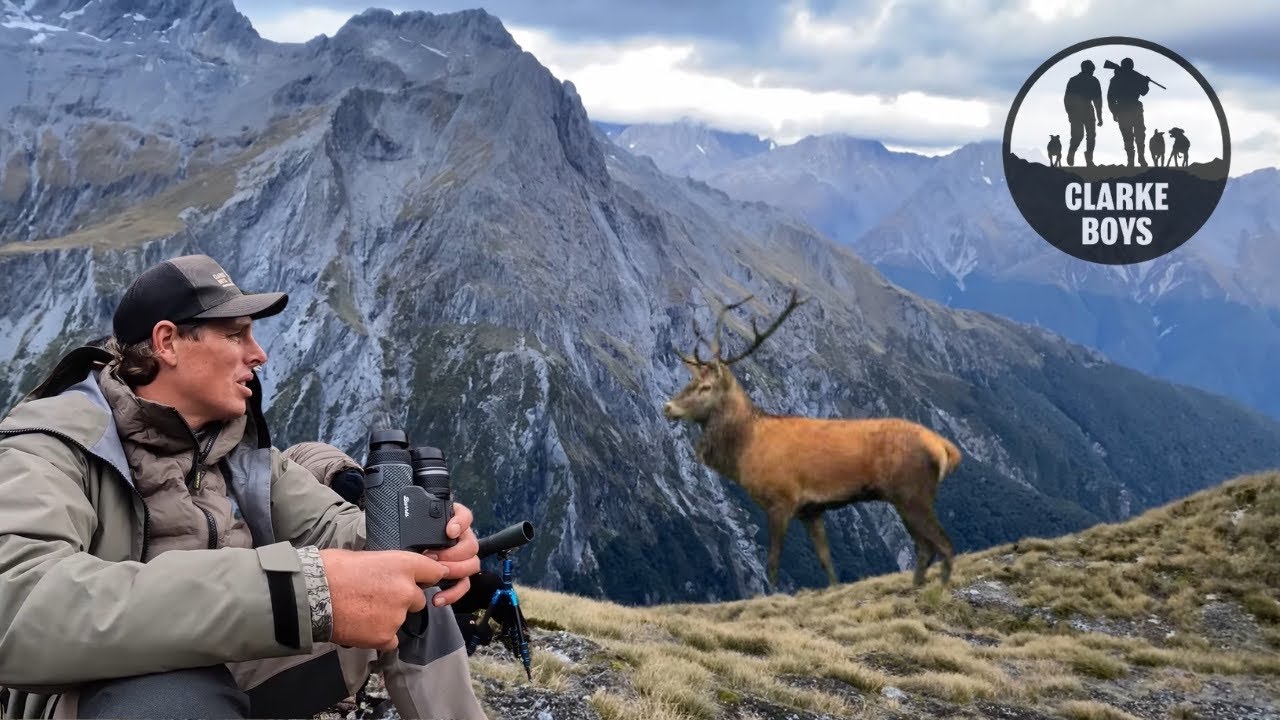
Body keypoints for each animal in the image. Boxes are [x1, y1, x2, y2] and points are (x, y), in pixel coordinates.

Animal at [662, 288, 963, 589]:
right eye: (688, 382)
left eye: (705, 387)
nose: (667, 407)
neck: (745, 449)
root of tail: (944, 447)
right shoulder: (811, 509)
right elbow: (825, 560)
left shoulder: (781, 499)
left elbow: (772, 565)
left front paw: (775, 594)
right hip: (903, 497)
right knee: (926, 547)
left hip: (912, 492)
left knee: (944, 544)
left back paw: (938, 589)